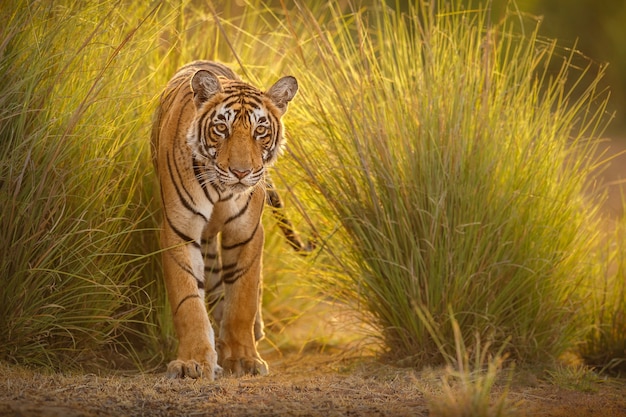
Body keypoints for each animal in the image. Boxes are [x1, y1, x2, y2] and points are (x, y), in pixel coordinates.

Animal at [151, 60, 298, 378]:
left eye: (260, 131)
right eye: (222, 128)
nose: (241, 172)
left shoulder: (246, 232)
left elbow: (243, 298)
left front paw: (243, 359)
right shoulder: (180, 230)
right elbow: (188, 302)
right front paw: (193, 362)